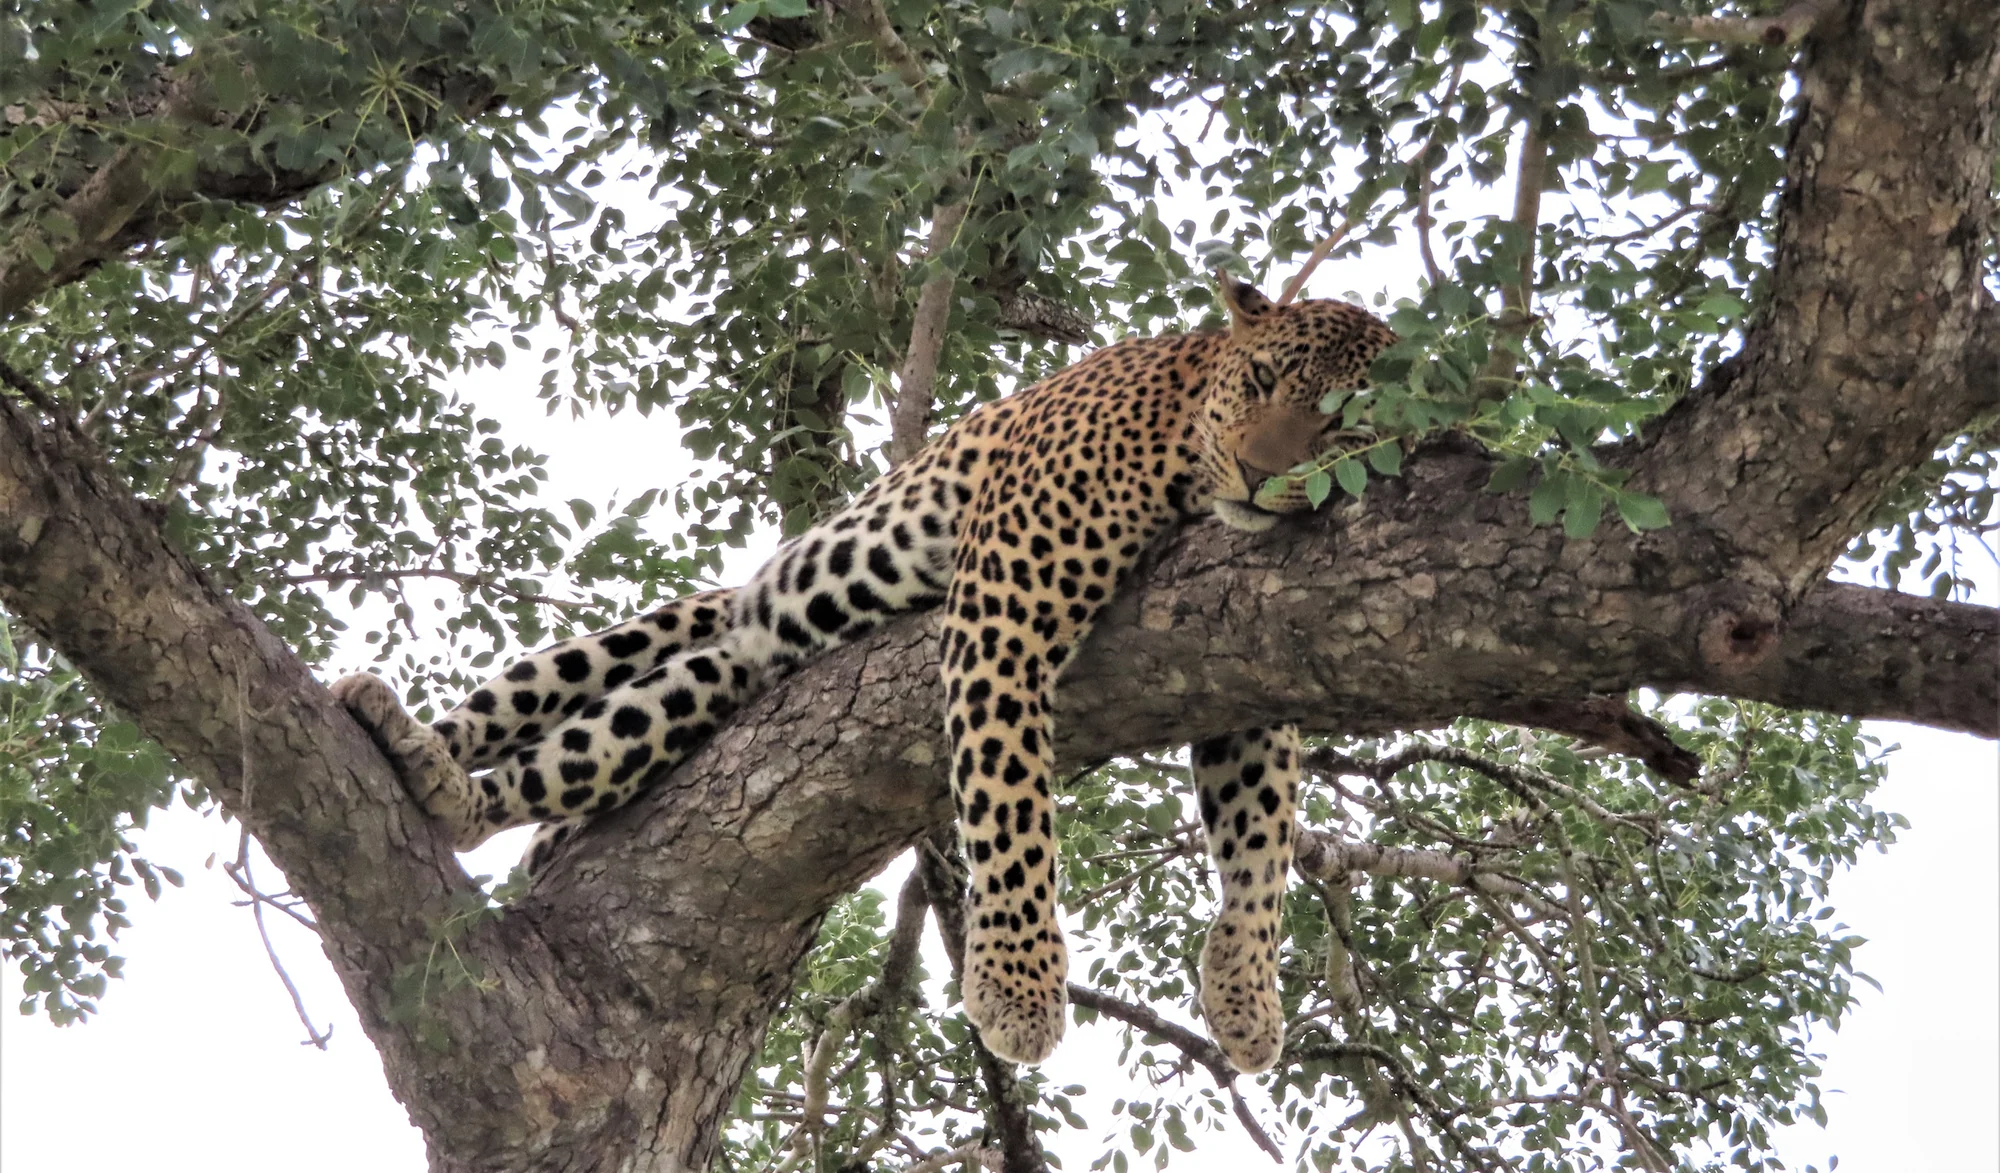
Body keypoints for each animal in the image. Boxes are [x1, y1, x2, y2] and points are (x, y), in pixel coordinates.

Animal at [332, 280, 1396, 1073]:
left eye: (1344, 422)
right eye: (1261, 378)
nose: (1259, 476)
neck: (1183, 446)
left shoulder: (1242, 659)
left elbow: (1262, 836)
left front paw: (1246, 994)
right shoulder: (1005, 606)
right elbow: (1011, 798)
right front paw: (1017, 986)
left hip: (697, 682)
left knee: (592, 749)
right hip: (664, 628)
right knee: (514, 712)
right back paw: (417, 748)